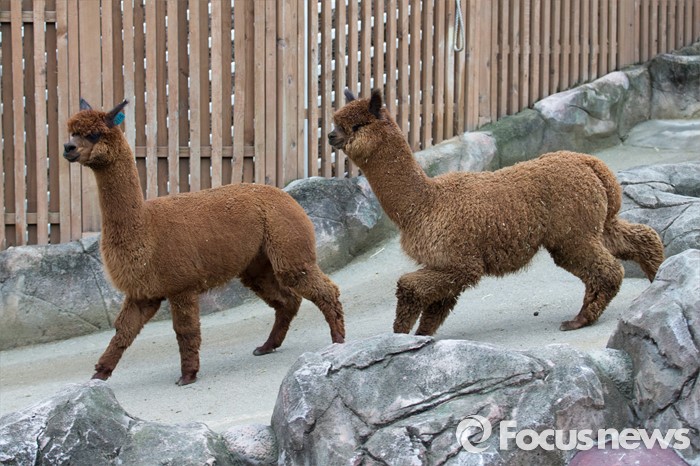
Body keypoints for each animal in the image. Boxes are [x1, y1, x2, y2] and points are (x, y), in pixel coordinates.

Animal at [63, 99, 344, 385]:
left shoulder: (181, 285)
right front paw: (99, 374)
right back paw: (267, 346)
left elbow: (186, 330)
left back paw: (338, 342)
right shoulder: (143, 293)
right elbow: (123, 331)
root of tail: (286, 196)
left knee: (325, 291)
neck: (146, 228)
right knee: (287, 300)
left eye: (93, 134)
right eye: (72, 133)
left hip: (289, 249)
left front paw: (187, 375)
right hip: (258, 264)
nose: (67, 148)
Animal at [328, 89, 664, 336]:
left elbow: (408, 286)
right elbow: (436, 308)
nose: (331, 137)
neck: (423, 204)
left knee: (609, 270)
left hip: (573, 233)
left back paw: (580, 320)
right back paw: (656, 279)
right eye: (335, 122)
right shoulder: (445, 265)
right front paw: (419, 338)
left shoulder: (460, 262)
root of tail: (590, 163)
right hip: (598, 222)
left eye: (355, 126)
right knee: (642, 237)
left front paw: (399, 334)